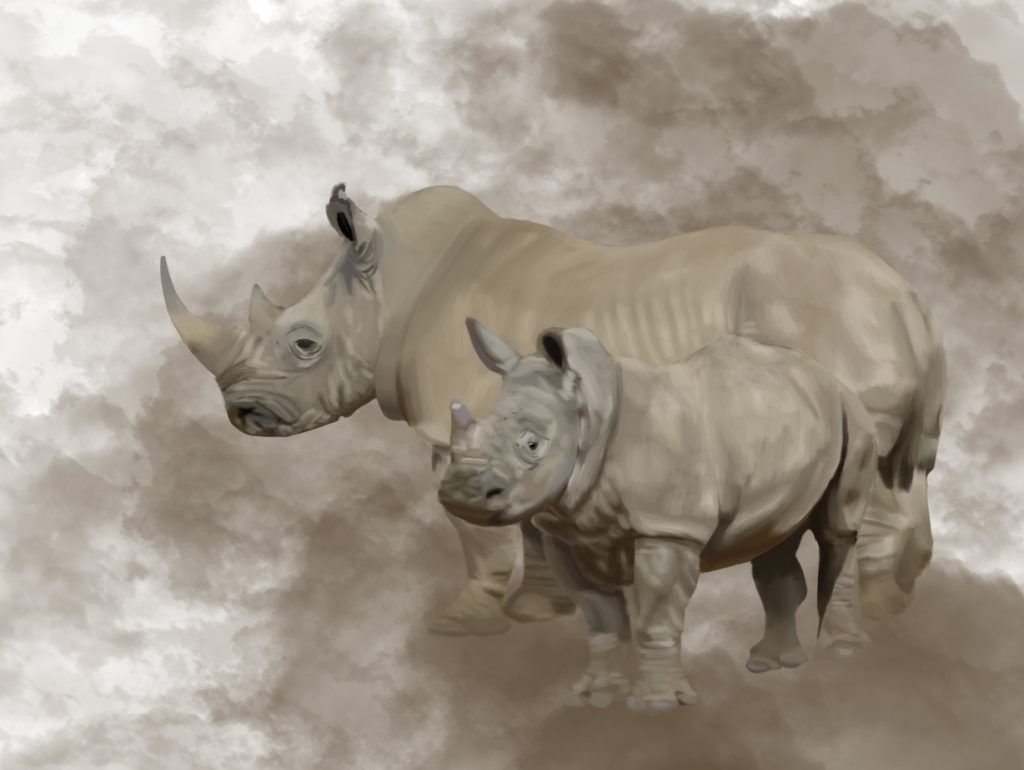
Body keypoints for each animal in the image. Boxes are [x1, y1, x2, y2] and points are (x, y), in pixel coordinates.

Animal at [160, 182, 944, 637]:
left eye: (303, 344)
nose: (242, 413)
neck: (390, 288)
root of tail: (906, 296)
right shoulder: (524, 428)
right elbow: (529, 524)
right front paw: (541, 613)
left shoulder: (458, 425)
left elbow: (477, 531)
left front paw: (462, 623)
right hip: (858, 329)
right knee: (901, 472)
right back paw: (897, 613)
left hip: (830, 327)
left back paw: (868, 635)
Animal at [437, 322, 878, 709]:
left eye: (532, 445)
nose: (460, 493)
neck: (590, 415)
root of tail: (827, 375)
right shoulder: (567, 533)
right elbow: (599, 618)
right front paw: (595, 697)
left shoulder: (668, 528)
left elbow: (656, 619)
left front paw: (659, 705)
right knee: (774, 540)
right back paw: (769, 664)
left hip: (853, 415)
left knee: (838, 530)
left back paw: (841, 655)